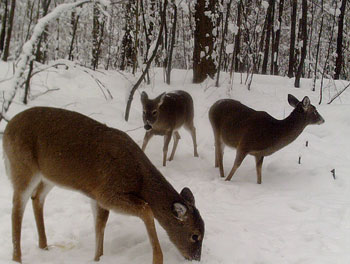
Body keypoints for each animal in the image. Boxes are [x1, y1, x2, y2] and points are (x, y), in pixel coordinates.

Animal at [3, 106, 205, 264]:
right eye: (195, 235)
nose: (196, 258)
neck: (139, 178)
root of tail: (6, 129)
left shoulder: (97, 196)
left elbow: (100, 224)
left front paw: (98, 258)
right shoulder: (108, 193)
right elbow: (147, 209)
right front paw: (157, 259)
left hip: (49, 176)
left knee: (37, 197)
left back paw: (44, 246)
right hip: (22, 167)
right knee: (17, 208)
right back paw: (17, 258)